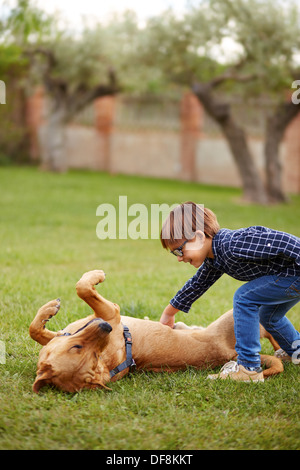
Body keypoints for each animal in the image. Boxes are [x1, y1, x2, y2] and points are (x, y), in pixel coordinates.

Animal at [29, 270, 284, 392]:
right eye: (82, 349)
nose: (107, 328)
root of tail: (231, 354)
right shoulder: (111, 312)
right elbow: (82, 287)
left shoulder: (100, 317)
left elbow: (35, 330)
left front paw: (48, 310)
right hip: (238, 313)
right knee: (269, 322)